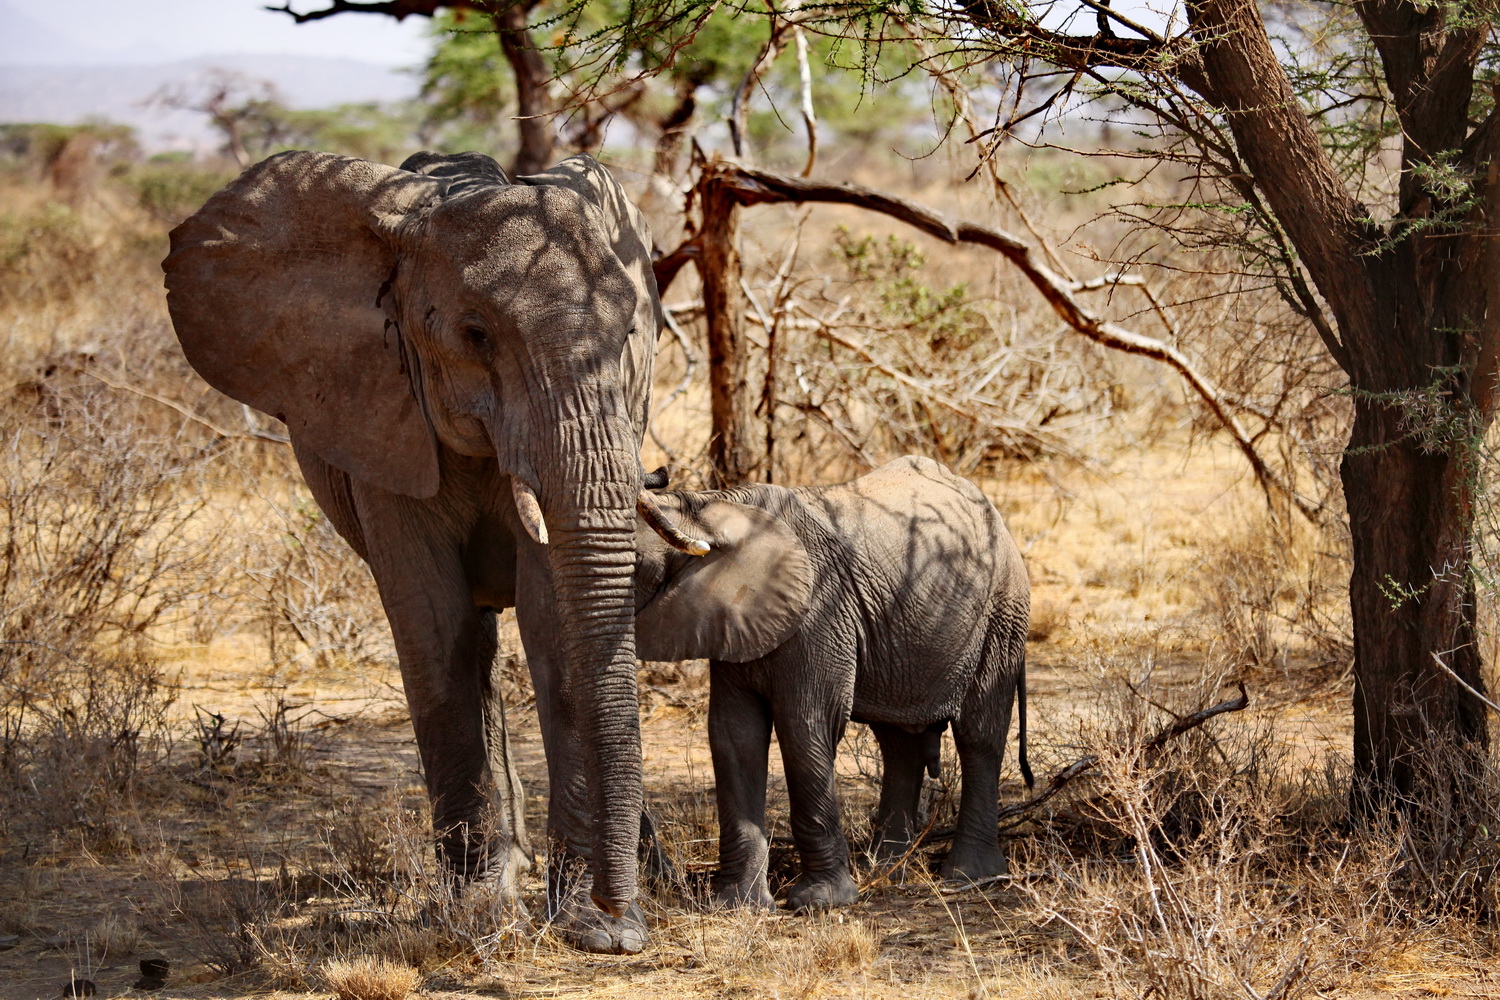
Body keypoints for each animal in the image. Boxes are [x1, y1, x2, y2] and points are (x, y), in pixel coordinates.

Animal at [164, 148, 702, 953]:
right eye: (475, 334)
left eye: (635, 338)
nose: (620, 926)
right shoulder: (381, 413)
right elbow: (431, 621)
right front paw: (482, 912)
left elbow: (554, 622)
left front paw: (583, 920)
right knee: (472, 639)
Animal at [633, 458, 1032, 911]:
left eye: (634, 563)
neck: (705, 505)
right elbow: (734, 735)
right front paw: (737, 905)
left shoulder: (820, 611)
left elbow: (806, 725)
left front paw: (820, 902)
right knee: (899, 742)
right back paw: (886, 868)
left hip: (1003, 614)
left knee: (978, 736)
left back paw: (970, 875)